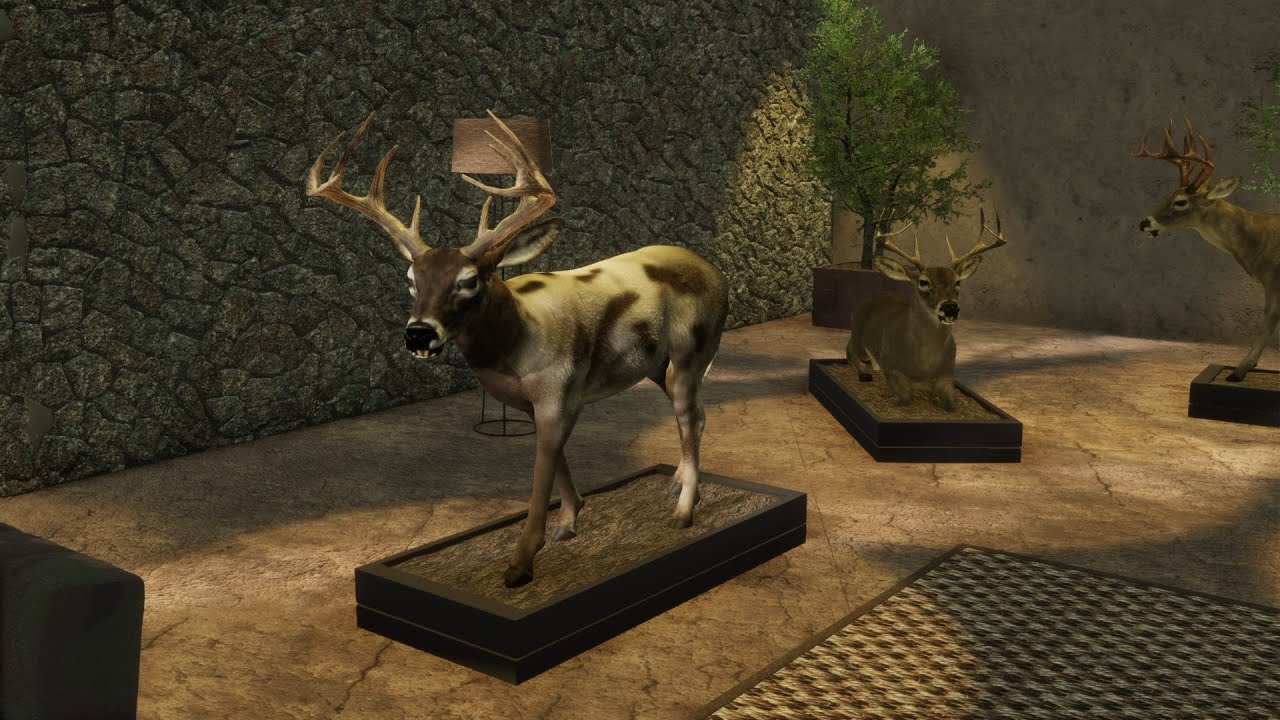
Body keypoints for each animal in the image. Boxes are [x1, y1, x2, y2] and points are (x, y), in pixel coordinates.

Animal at [305, 112, 728, 588]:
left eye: (469, 280)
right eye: (411, 279)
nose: (417, 334)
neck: (519, 340)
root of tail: (716, 271)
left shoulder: (558, 391)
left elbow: (542, 468)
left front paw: (521, 562)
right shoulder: (533, 402)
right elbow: (556, 460)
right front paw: (569, 521)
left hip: (693, 348)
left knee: (689, 415)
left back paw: (683, 511)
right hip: (659, 365)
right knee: (695, 415)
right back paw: (676, 485)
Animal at [846, 210, 1006, 411]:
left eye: (958, 282)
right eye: (923, 282)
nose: (950, 306)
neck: (924, 365)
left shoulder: (948, 373)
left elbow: (952, 405)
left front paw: (939, 400)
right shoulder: (891, 365)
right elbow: (906, 397)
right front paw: (894, 398)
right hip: (857, 336)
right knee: (850, 353)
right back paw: (865, 373)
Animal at [1132, 119, 1280, 382]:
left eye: (1180, 201)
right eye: (1168, 194)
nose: (1144, 223)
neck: (1258, 238)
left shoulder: (1274, 278)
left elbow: (1268, 320)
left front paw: (1239, 371)